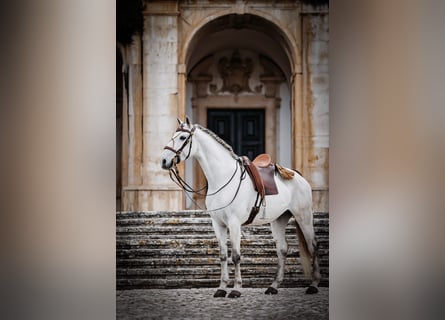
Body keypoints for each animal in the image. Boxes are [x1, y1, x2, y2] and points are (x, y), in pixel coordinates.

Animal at [160, 119, 320, 298]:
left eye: (182, 137)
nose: (164, 161)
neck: (222, 178)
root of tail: (298, 176)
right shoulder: (218, 224)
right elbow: (223, 255)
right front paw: (221, 288)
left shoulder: (234, 223)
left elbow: (236, 256)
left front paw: (236, 289)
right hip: (279, 220)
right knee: (282, 249)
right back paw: (273, 286)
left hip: (303, 216)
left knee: (312, 245)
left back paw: (314, 285)